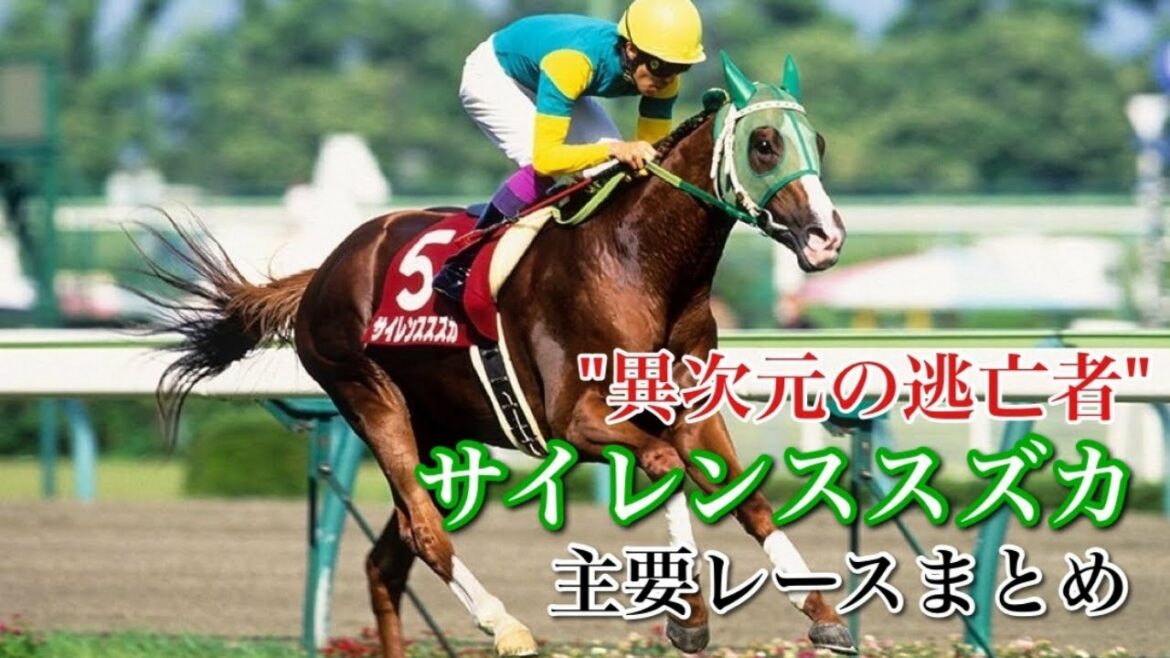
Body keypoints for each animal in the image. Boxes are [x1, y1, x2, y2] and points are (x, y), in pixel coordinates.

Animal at [146, 53, 851, 658]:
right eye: (764, 144)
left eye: (818, 143)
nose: (827, 238)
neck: (640, 266)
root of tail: (325, 268)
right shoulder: (575, 422)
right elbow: (664, 465)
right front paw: (689, 616)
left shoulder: (691, 408)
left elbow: (746, 497)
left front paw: (822, 615)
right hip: (368, 398)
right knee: (424, 531)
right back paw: (506, 626)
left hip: (436, 430)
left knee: (386, 560)